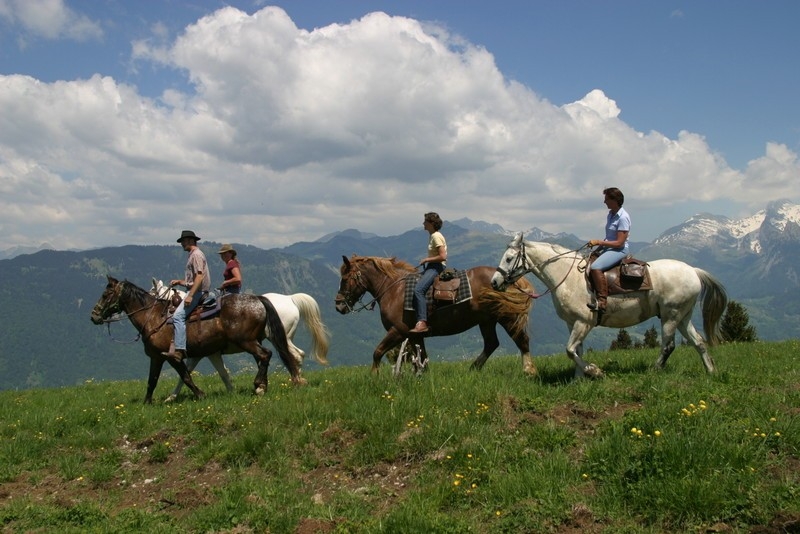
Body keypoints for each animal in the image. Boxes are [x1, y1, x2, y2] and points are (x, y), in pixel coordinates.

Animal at [90, 278, 304, 404]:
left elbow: (186, 376)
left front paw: (200, 395)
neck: (153, 318)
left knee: (269, 355)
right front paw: (148, 402)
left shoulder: (172, 356)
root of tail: (259, 300)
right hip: (254, 340)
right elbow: (153, 380)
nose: (94, 316)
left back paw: (264, 385)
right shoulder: (159, 357)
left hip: (247, 341)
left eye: (106, 294)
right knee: (269, 358)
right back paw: (268, 384)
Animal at [152, 280, 330, 402]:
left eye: (153, 292)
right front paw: (172, 397)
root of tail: (290, 299)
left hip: (278, 338)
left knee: (295, 355)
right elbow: (187, 372)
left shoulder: (210, 353)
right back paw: (295, 380)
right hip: (281, 337)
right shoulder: (200, 354)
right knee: (294, 355)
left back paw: (296, 380)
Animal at [334, 256, 536, 376]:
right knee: (491, 344)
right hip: (486, 321)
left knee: (522, 341)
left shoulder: (398, 331)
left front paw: (374, 376)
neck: (394, 289)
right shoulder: (415, 335)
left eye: (345, 279)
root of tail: (510, 280)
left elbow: (377, 352)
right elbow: (422, 360)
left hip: (507, 318)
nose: (338, 305)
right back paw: (472, 369)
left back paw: (528, 370)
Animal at [490, 236, 728, 382]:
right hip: (683, 316)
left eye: (509, 258)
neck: (568, 276)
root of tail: (693, 271)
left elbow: (570, 350)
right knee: (699, 342)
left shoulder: (584, 322)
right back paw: (712, 372)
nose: (494, 282)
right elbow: (576, 350)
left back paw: (654, 370)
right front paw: (578, 379)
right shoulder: (572, 323)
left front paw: (594, 371)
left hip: (671, 316)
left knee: (668, 346)